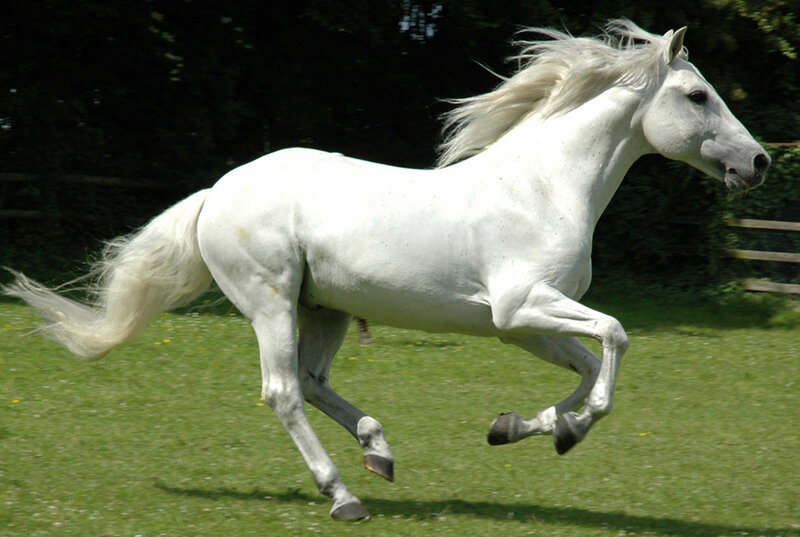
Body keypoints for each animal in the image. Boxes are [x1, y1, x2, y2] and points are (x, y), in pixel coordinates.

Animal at [3, 20, 770, 520]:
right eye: (697, 96)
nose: (759, 162)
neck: (544, 187)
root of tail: (216, 192)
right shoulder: (521, 306)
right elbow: (612, 340)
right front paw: (569, 430)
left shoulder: (520, 324)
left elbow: (585, 366)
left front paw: (523, 427)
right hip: (270, 301)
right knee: (284, 391)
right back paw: (344, 495)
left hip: (324, 308)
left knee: (314, 383)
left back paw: (379, 449)